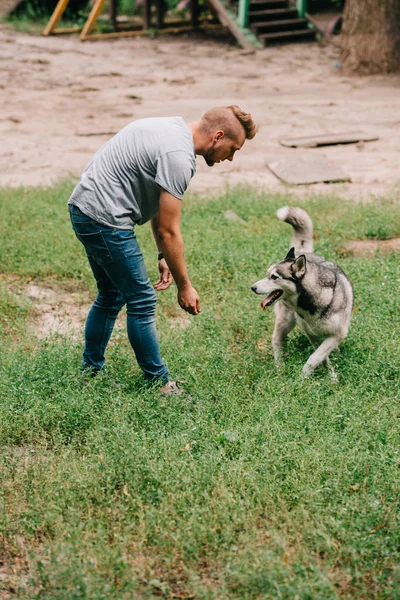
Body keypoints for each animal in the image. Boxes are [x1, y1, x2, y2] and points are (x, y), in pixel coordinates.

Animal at [250, 206, 354, 380]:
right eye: (267, 274)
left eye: (274, 277)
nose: (252, 287)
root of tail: (301, 252)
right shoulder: (311, 334)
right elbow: (319, 357)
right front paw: (307, 378)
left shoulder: (336, 334)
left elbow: (317, 357)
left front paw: (324, 377)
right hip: (286, 321)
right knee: (276, 339)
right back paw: (279, 367)